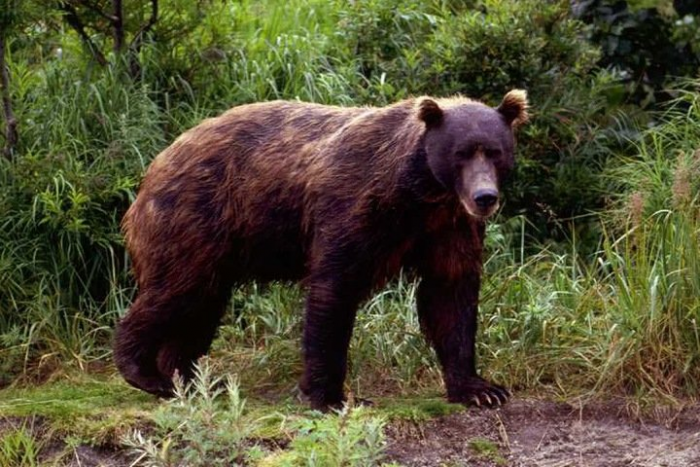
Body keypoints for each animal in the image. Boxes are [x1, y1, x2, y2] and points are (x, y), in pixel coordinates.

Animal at [115, 90, 528, 410]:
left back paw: (189, 379)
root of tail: (157, 162)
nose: (484, 197)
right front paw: (330, 396)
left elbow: (450, 295)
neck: (419, 193)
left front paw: (480, 388)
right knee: (177, 288)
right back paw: (144, 371)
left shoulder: (447, 228)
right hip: (197, 218)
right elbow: (334, 288)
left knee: (201, 305)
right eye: (461, 153)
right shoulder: (355, 207)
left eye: (495, 152)